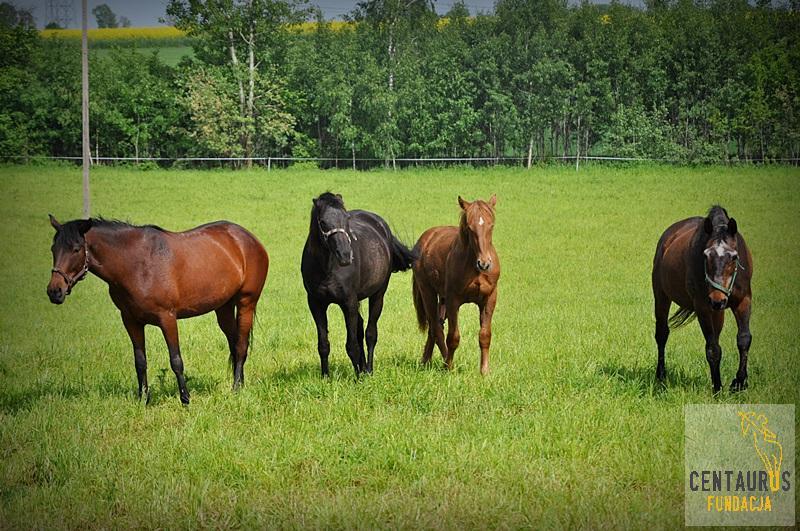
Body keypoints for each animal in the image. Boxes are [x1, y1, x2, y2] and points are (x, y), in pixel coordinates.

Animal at [48, 216, 270, 404]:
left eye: (76, 249)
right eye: (53, 249)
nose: (54, 291)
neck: (136, 264)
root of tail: (247, 238)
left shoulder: (167, 318)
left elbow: (176, 360)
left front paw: (185, 399)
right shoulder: (130, 320)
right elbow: (140, 361)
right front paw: (143, 399)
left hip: (246, 302)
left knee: (240, 346)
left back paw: (236, 389)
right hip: (223, 307)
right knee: (234, 343)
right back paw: (239, 384)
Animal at [302, 193, 418, 376]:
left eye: (346, 219)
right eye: (323, 222)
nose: (345, 255)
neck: (328, 268)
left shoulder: (348, 302)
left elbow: (352, 345)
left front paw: (358, 377)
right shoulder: (316, 304)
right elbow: (324, 344)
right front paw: (326, 377)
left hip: (378, 295)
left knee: (370, 333)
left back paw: (368, 370)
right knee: (360, 328)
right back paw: (362, 368)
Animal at [412, 194, 500, 374]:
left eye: (491, 225)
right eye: (470, 227)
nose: (484, 264)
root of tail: (426, 238)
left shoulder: (489, 299)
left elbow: (485, 335)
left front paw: (484, 371)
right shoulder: (454, 301)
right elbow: (453, 337)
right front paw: (449, 368)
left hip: (443, 300)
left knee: (435, 327)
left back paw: (426, 360)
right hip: (428, 292)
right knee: (436, 327)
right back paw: (444, 361)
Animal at [652, 206, 752, 392]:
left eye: (734, 257)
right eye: (705, 256)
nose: (717, 300)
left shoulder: (743, 301)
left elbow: (743, 339)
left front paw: (739, 383)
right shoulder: (702, 307)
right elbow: (712, 349)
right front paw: (717, 388)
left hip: (718, 312)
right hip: (661, 296)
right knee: (662, 334)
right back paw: (661, 376)